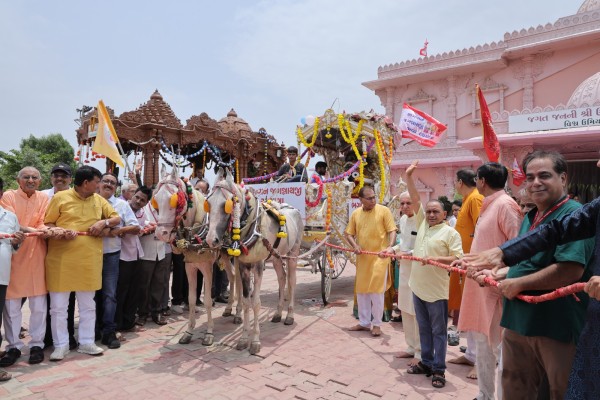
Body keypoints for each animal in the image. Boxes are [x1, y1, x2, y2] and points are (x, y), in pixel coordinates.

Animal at [152, 167, 241, 346]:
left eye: (174, 201)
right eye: (155, 200)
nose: (160, 234)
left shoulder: (206, 267)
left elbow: (207, 300)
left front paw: (209, 333)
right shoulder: (190, 266)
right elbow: (192, 298)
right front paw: (188, 332)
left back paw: (239, 313)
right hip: (225, 256)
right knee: (233, 276)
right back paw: (229, 308)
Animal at [205, 168, 304, 354]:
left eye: (225, 205)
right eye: (208, 203)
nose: (210, 240)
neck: (250, 227)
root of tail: (293, 209)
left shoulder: (258, 265)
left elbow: (256, 302)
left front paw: (256, 341)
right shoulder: (243, 265)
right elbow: (245, 301)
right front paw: (244, 339)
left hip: (293, 253)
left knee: (292, 281)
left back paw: (289, 315)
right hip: (276, 256)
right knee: (282, 278)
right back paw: (278, 313)